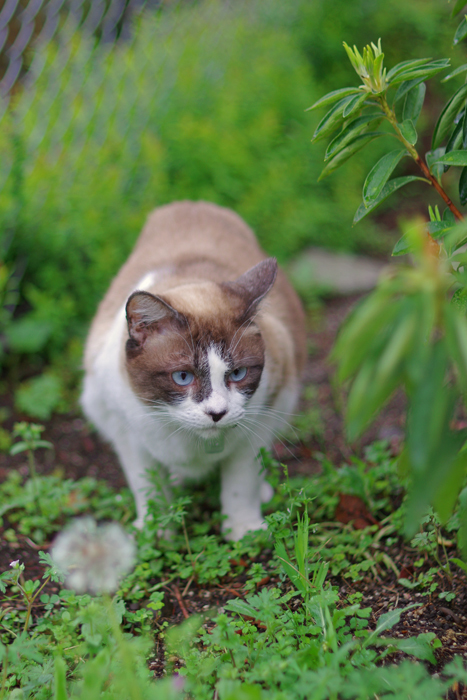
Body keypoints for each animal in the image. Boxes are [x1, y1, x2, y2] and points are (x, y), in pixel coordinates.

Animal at [80, 200, 308, 540]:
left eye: (238, 374)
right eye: (183, 377)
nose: (217, 413)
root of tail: (193, 203)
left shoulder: (261, 419)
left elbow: (241, 483)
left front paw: (244, 532)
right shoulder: (125, 432)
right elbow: (148, 487)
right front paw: (157, 534)